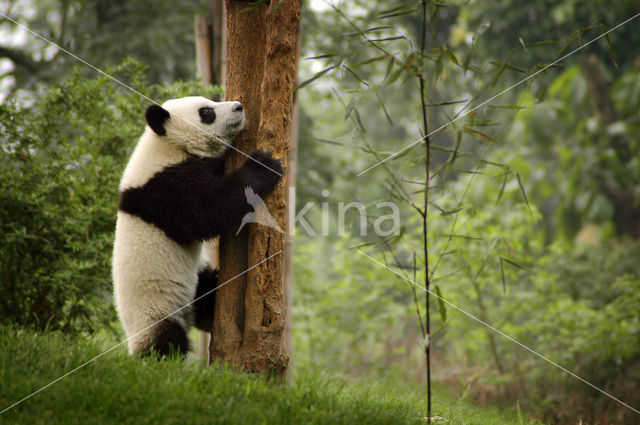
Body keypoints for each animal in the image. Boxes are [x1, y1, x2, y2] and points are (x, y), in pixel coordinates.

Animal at [113, 95, 282, 354]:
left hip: (195, 281)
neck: (167, 145)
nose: (239, 107)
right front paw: (263, 164)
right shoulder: (164, 188)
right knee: (166, 343)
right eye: (206, 112)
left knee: (207, 293)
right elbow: (207, 211)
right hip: (153, 310)